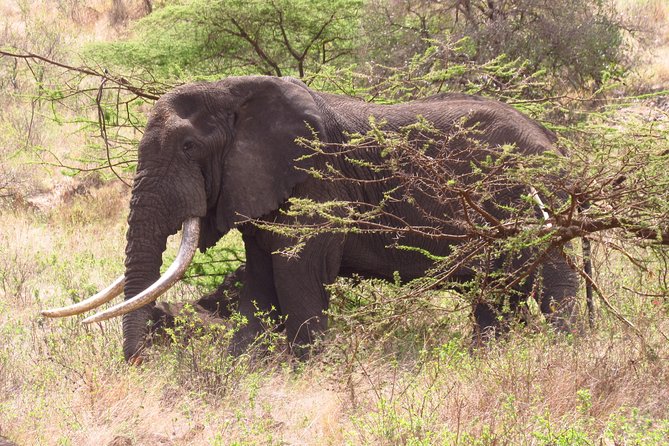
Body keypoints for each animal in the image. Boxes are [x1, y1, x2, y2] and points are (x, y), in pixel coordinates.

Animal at [42, 75, 578, 361]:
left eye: (190, 147)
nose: (142, 361)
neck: (235, 93)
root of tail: (556, 141)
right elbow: (261, 276)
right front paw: (247, 366)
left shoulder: (314, 179)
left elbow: (297, 271)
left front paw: (309, 368)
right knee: (503, 291)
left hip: (533, 199)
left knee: (552, 280)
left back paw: (565, 351)